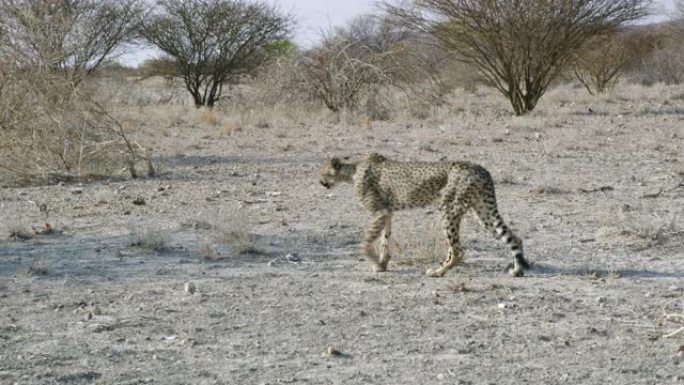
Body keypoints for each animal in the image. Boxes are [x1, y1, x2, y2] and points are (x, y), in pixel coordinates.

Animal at [320, 152, 528, 276]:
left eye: (322, 172)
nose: (321, 182)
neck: (352, 172)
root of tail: (482, 169)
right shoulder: (387, 212)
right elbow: (385, 238)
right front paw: (382, 263)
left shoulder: (379, 212)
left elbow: (366, 242)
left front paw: (374, 262)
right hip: (482, 211)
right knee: (514, 238)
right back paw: (517, 269)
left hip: (448, 210)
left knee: (457, 250)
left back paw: (438, 271)